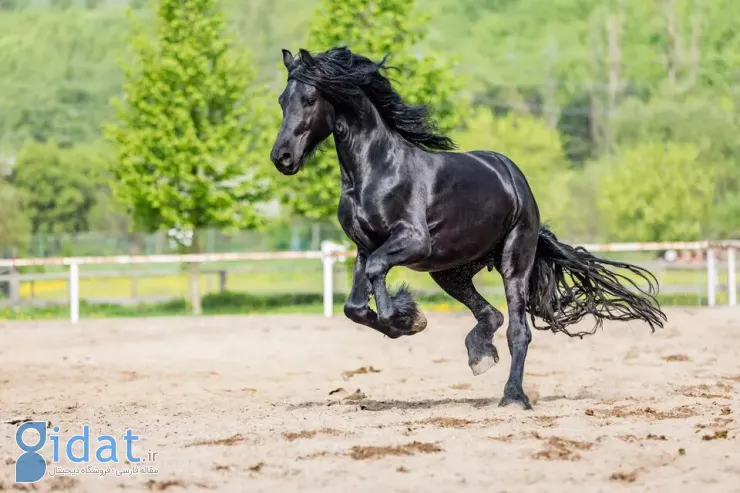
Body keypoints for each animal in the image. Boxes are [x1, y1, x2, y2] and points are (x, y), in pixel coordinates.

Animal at [270, 47, 664, 408]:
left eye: (309, 99)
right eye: (282, 100)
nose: (282, 157)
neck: (376, 170)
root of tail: (514, 178)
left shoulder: (412, 241)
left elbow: (378, 276)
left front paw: (406, 319)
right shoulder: (364, 248)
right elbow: (354, 305)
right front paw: (407, 320)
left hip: (512, 261)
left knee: (518, 331)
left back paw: (513, 396)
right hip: (450, 272)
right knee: (491, 314)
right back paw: (480, 355)